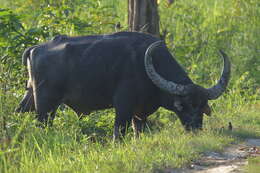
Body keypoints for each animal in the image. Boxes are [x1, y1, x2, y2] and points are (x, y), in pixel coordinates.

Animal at [16, 31, 231, 139]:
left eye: (202, 106)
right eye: (184, 106)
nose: (195, 128)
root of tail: (36, 48)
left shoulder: (139, 114)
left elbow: (138, 132)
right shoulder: (123, 107)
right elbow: (119, 133)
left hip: (30, 98)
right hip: (46, 107)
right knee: (42, 124)